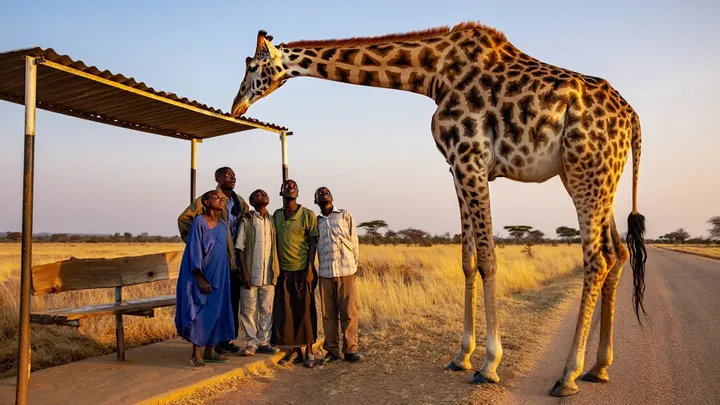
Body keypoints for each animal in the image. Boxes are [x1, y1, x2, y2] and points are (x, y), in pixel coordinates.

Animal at [230, 22, 648, 397]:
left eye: (251, 66)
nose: (236, 105)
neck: (432, 74)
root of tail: (632, 118)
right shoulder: (457, 168)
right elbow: (468, 261)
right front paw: (461, 356)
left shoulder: (471, 159)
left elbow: (488, 259)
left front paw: (489, 365)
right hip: (597, 177)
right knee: (618, 252)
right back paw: (599, 367)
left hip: (584, 170)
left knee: (596, 259)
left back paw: (567, 376)